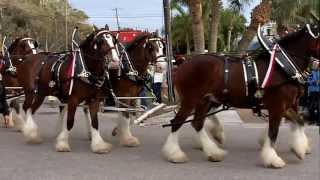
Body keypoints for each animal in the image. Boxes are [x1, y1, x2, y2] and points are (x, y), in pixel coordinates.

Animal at [162, 23, 320, 167]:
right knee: (177, 122)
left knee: (197, 123)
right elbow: (274, 131)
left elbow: (299, 122)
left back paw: (213, 152)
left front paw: (299, 148)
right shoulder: (278, 106)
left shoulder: (289, 105)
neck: (282, 66)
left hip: (204, 101)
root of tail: (181, 65)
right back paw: (176, 154)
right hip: (191, 100)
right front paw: (273, 158)